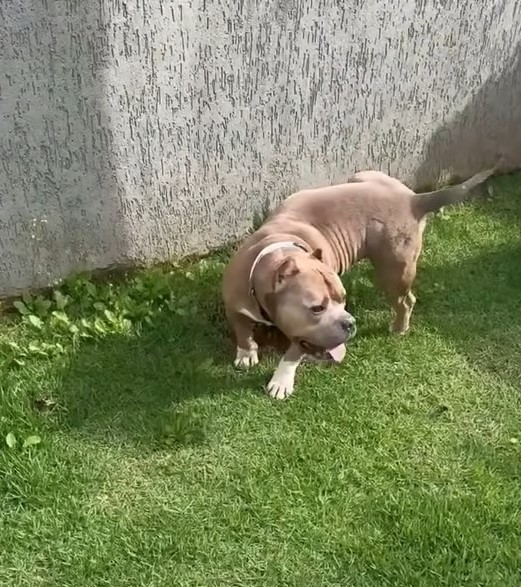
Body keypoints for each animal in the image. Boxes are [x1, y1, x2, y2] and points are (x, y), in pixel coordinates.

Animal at [220, 168, 496, 402]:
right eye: (317, 308)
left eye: (343, 299)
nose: (350, 323)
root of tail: (413, 199)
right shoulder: (235, 305)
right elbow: (242, 331)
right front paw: (246, 353)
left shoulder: (303, 335)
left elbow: (292, 354)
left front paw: (281, 381)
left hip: (393, 272)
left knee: (406, 301)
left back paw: (399, 328)